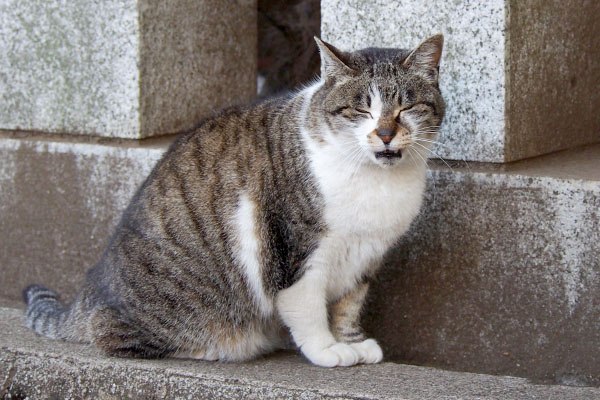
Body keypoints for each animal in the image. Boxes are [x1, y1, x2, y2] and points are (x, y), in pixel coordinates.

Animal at [22, 35, 446, 368]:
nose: (386, 134)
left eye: (407, 107)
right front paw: (328, 350)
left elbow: (349, 303)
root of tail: (92, 288)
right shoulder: (297, 250)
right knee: (111, 334)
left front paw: (351, 341)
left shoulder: (365, 256)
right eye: (361, 109)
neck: (377, 181)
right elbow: (308, 306)